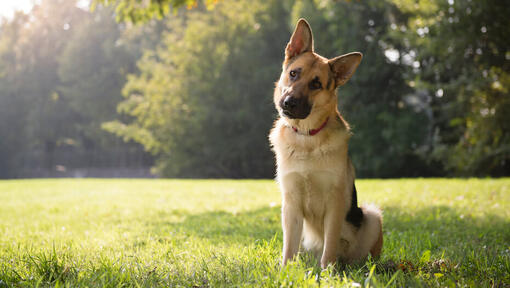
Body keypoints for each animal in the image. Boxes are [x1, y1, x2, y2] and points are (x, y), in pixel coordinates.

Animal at [270, 19, 382, 268]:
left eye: (316, 84)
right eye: (293, 73)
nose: (288, 103)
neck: (307, 137)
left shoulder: (335, 204)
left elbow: (329, 245)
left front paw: (328, 271)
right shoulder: (290, 205)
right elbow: (288, 247)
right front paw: (285, 270)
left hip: (372, 216)